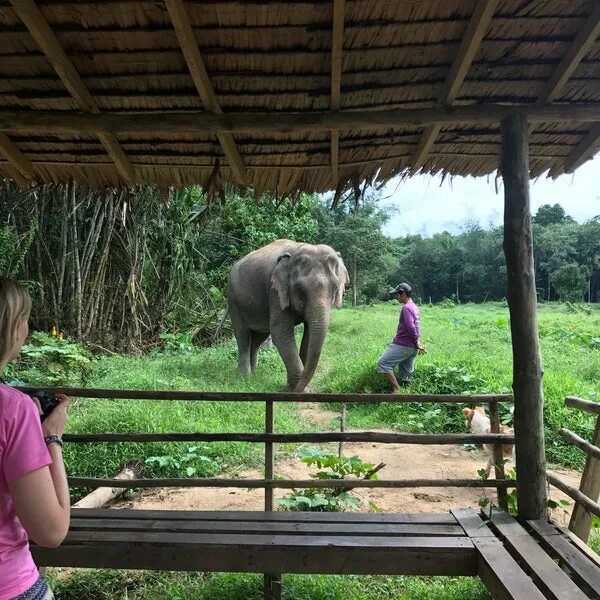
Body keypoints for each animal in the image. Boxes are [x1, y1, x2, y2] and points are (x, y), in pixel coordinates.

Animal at [229, 239, 352, 394]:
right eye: (299, 289)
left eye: (335, 288)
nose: (297, 389)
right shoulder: (275, 292)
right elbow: (281, 333)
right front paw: (294, 390)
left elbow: (309, 335)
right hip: (234, 300)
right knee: (243, 336)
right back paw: (244, 378)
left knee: (257, 339)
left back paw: (254, 376)